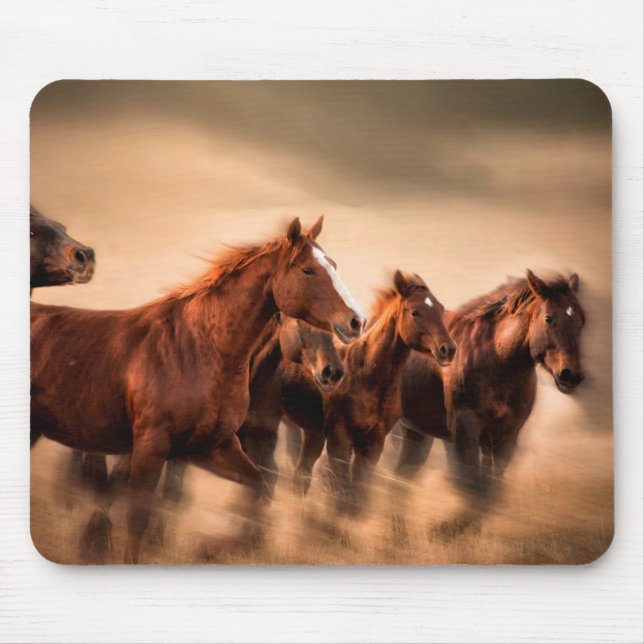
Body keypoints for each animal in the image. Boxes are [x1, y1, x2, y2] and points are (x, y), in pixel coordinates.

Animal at [31, 216, 365, 562]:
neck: (197, 347)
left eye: (333, 265)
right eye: (308, 270)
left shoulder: (211, 446)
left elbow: (257, 489)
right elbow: (138, 513)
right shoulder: (152, 445)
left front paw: (211, 546)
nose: (357, 322)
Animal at [287, 270, 456, 515]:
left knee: (302, 474)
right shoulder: (339, 439)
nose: (448, 349)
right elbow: (341, 489)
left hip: (312, 433)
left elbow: (359, 493)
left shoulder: (373, 443)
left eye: (440, 310)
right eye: (415, 312)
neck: (367, 377)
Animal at [394, 270, 586, 536]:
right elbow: (473, 485)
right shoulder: (465, 430)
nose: (571, 375)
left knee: (401, 477)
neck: (496, 359)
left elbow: (490, 492)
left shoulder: (505, 438)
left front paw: (451, 531)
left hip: (416, 433)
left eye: (581, 320)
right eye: (548, 318)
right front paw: (443, 530)